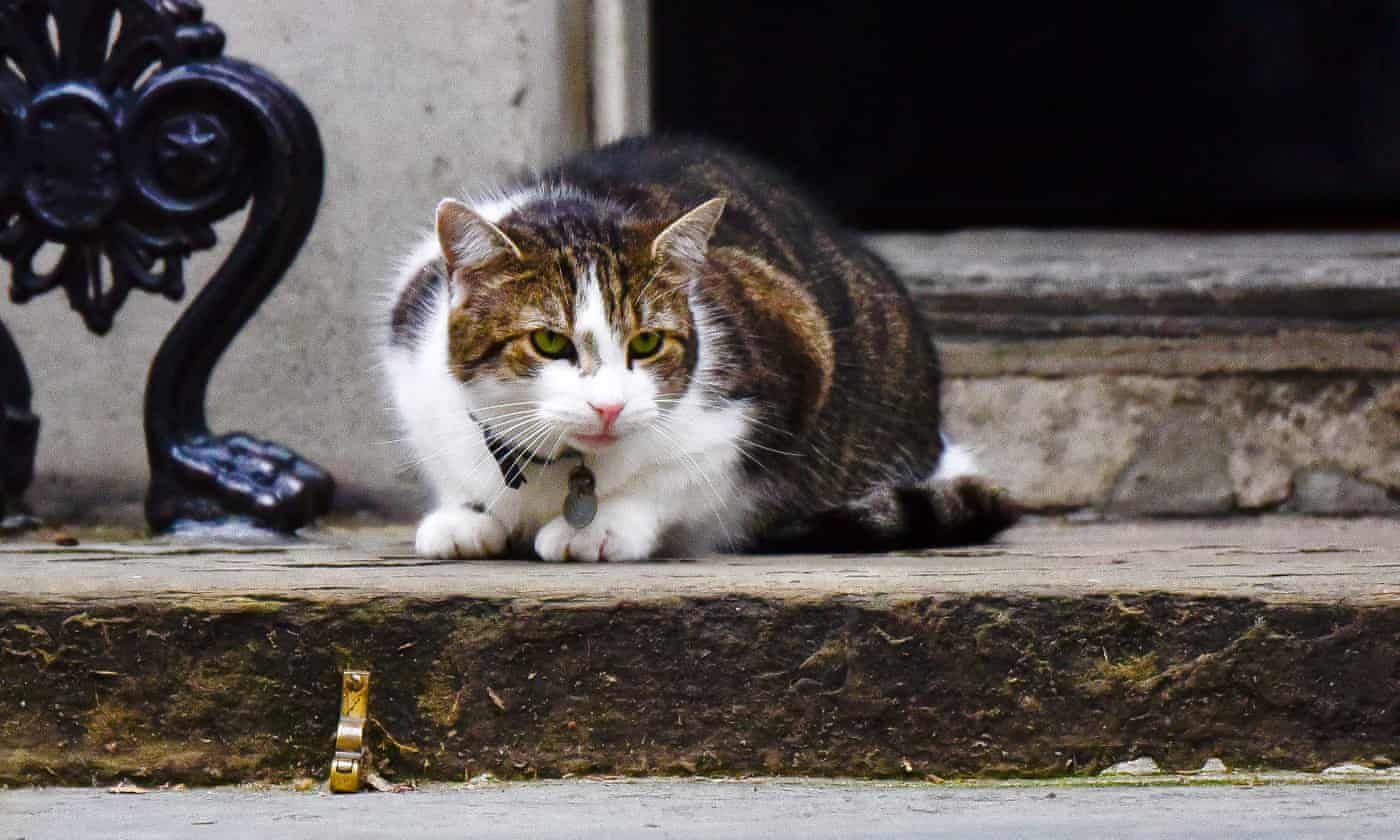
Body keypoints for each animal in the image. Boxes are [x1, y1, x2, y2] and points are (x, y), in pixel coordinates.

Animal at [383, 137, 1019, 560]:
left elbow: (687, 475)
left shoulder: (795, 365)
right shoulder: (411, 359)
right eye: (548, 340)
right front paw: (463, 515)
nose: (609, 407)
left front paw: (600, 526)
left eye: (646, 342)